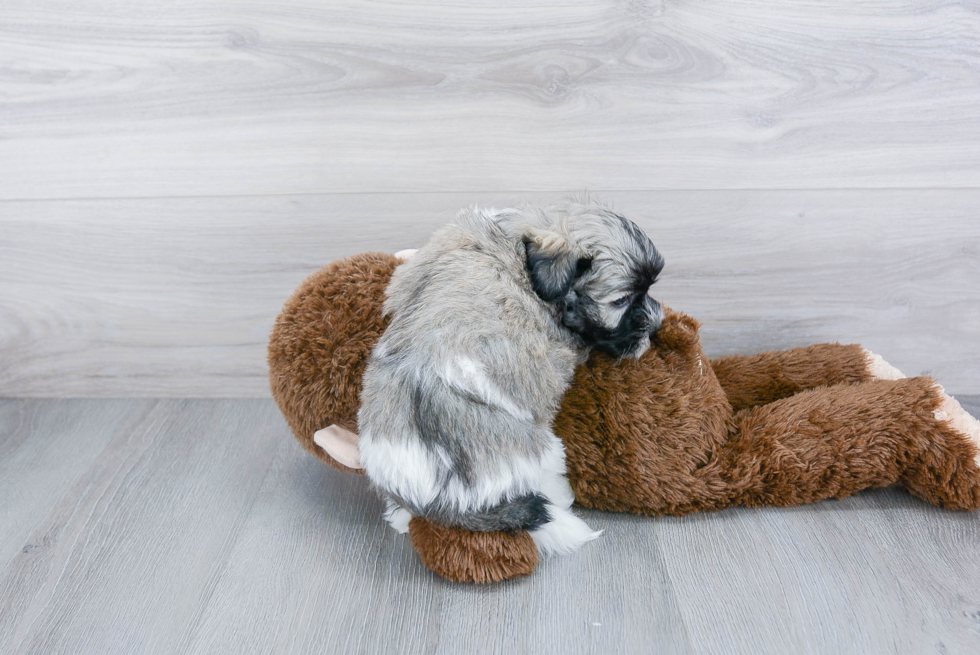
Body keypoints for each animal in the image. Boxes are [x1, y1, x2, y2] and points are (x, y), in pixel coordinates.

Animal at [358, 197, 668, 556]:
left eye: (648, 289)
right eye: (620, 301)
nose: (656, 325)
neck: (520, 241)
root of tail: (442, 499)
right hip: (542, 451)